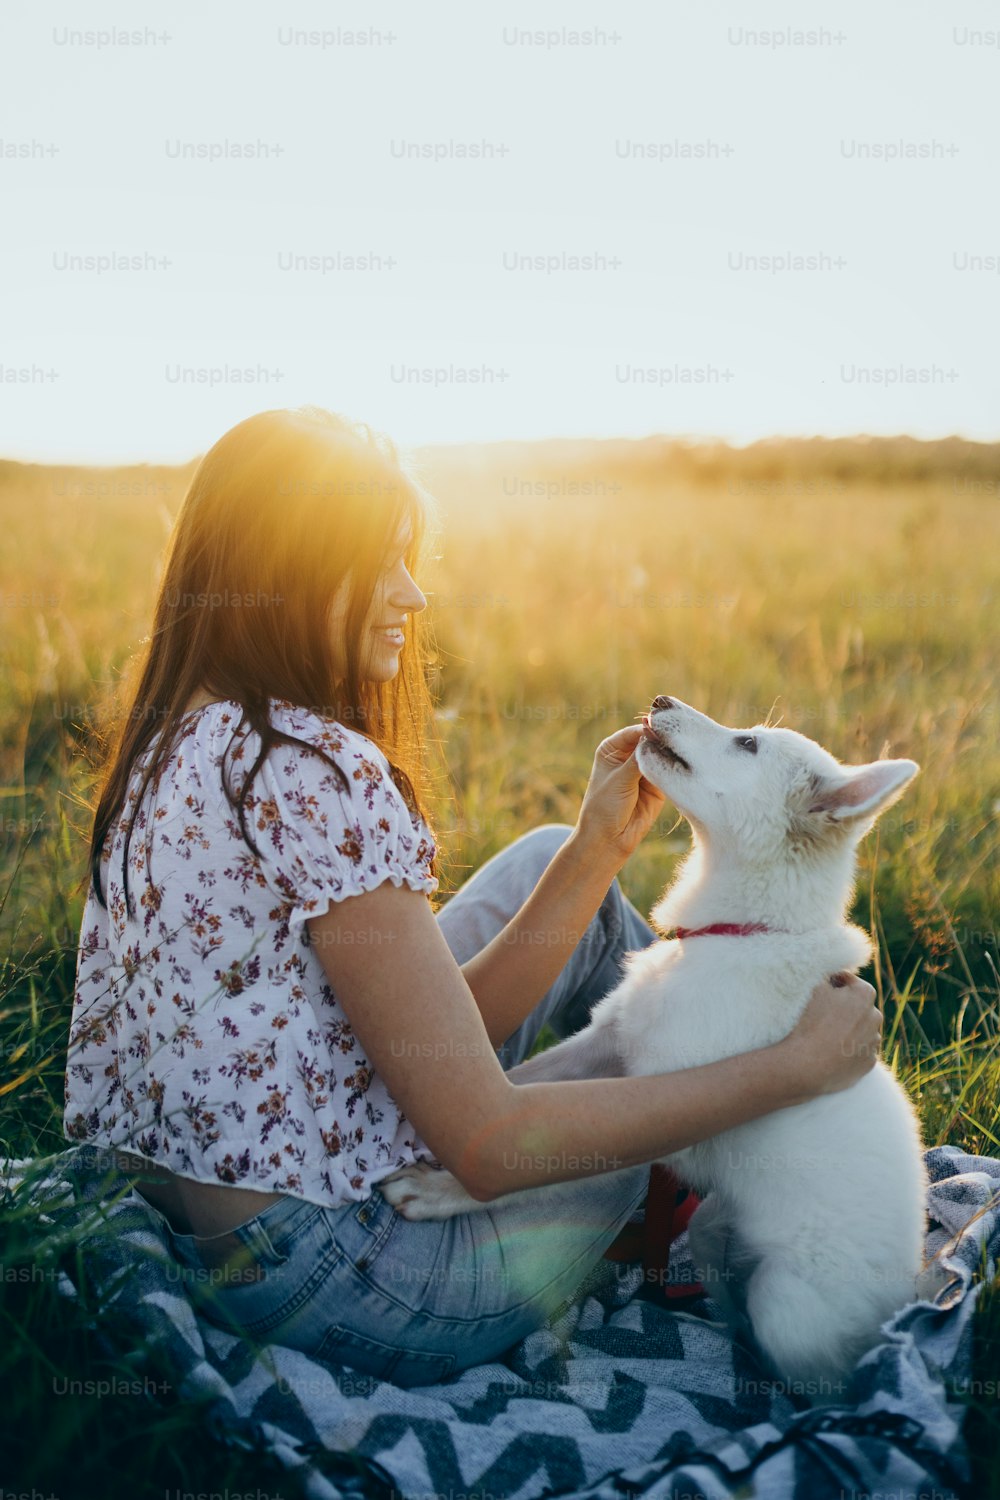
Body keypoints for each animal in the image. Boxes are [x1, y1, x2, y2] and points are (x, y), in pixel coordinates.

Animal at [383, 696, 929, 1386]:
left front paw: (437, 1191)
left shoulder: (662, 1120)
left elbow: (530, 1171)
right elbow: (509, 1093)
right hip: (715, 1230)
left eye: (747, 743)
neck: (739, 934)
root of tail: (900, 1306)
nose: (661, 701)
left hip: (788, 1303)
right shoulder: (607, 1041)